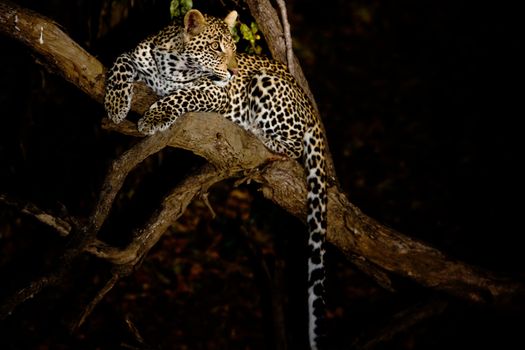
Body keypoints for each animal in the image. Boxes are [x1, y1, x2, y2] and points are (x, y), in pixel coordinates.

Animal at [103, 8, 328, 350]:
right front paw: (115, 104)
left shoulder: (217, 93)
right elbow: (120, 61)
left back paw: (257, 132)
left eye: (235, 48)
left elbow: (183, 95)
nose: (234, 71)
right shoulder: (134, 57)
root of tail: (312, 109)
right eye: (217, 48)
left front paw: (155, 116)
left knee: (292, 146)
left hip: (266, 85)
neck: (173, 66)